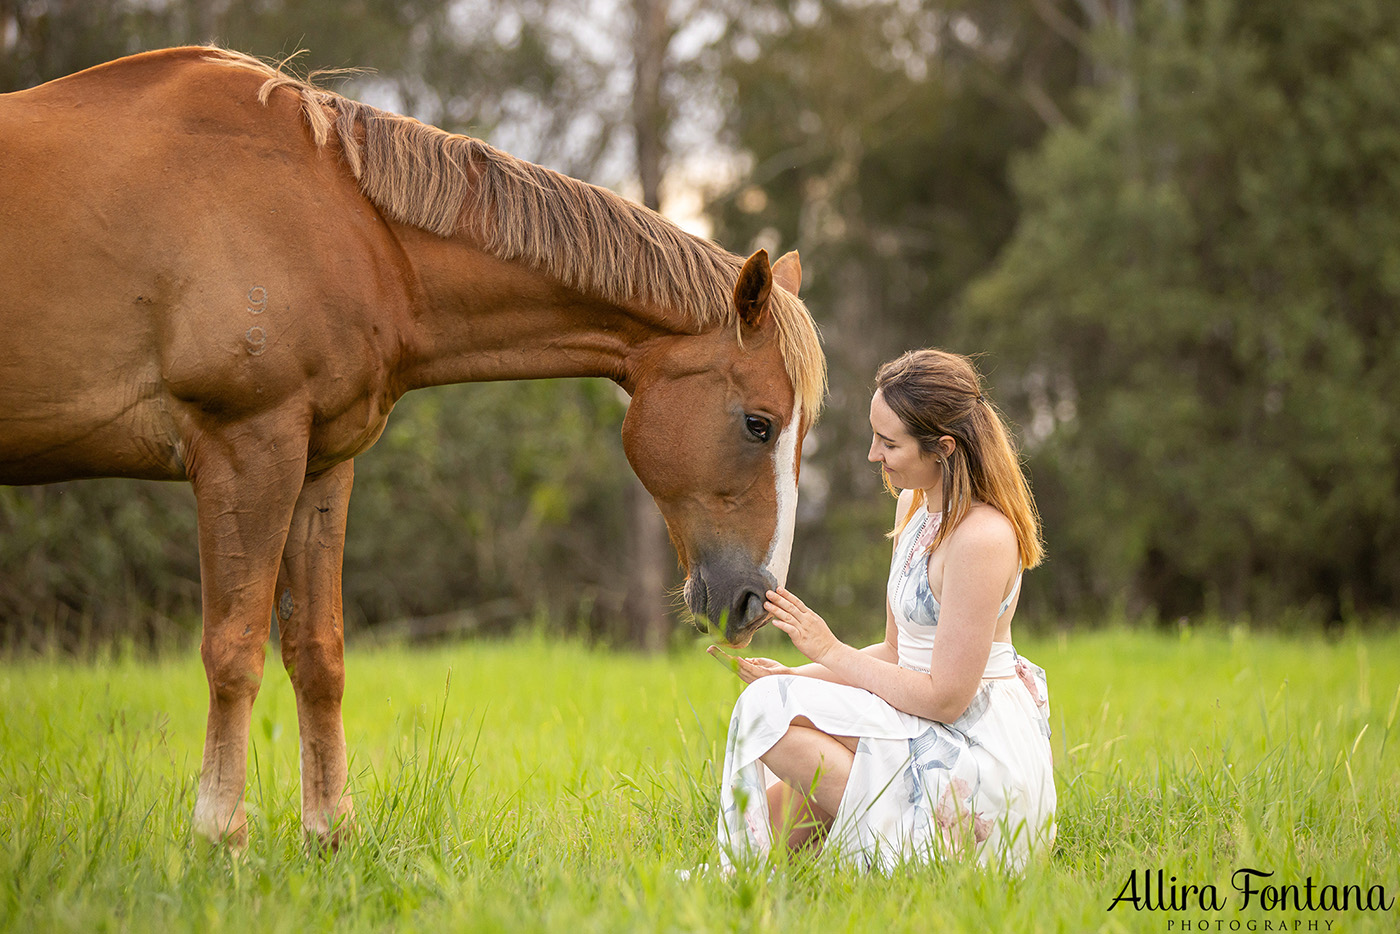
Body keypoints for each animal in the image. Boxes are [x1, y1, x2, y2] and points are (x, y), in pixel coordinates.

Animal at [0, 49, 823, 845]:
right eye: (758, 424)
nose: (756, 598)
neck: (345, 227)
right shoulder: (246, 449)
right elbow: (233, 651)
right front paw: (219, 841)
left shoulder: (319, 465)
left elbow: (319, 654)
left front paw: (330, 836)